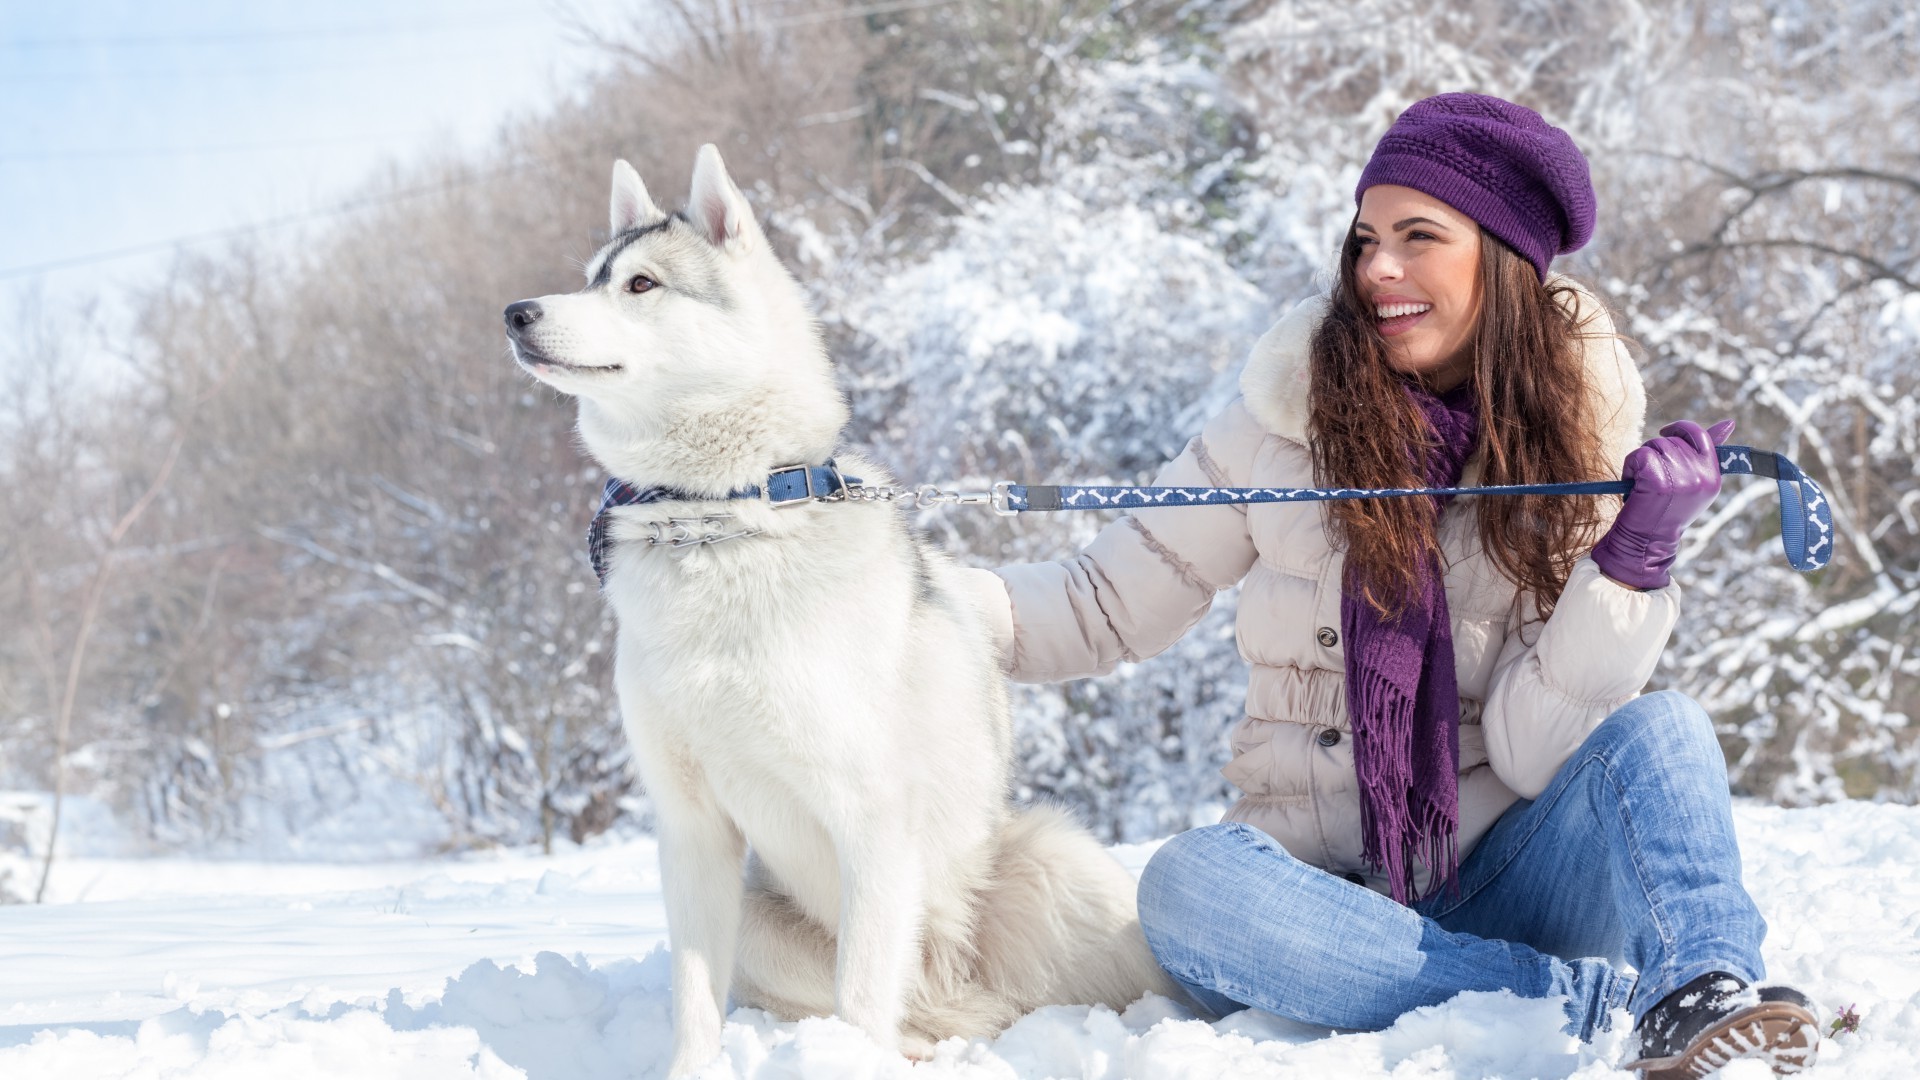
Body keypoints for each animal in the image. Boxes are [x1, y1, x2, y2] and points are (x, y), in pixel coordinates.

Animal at [503, 147, 1175, 1068]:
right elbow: (694, 1000)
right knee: (914, 1018)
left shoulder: (873, 821)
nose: (515, 313)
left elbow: (861, 993)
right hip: (762, 924)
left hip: (1054, 862)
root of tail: (956, 988)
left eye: (640, 284)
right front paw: (691, 1069)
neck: (721, 521)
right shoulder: (690, 829)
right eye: (589, 277)